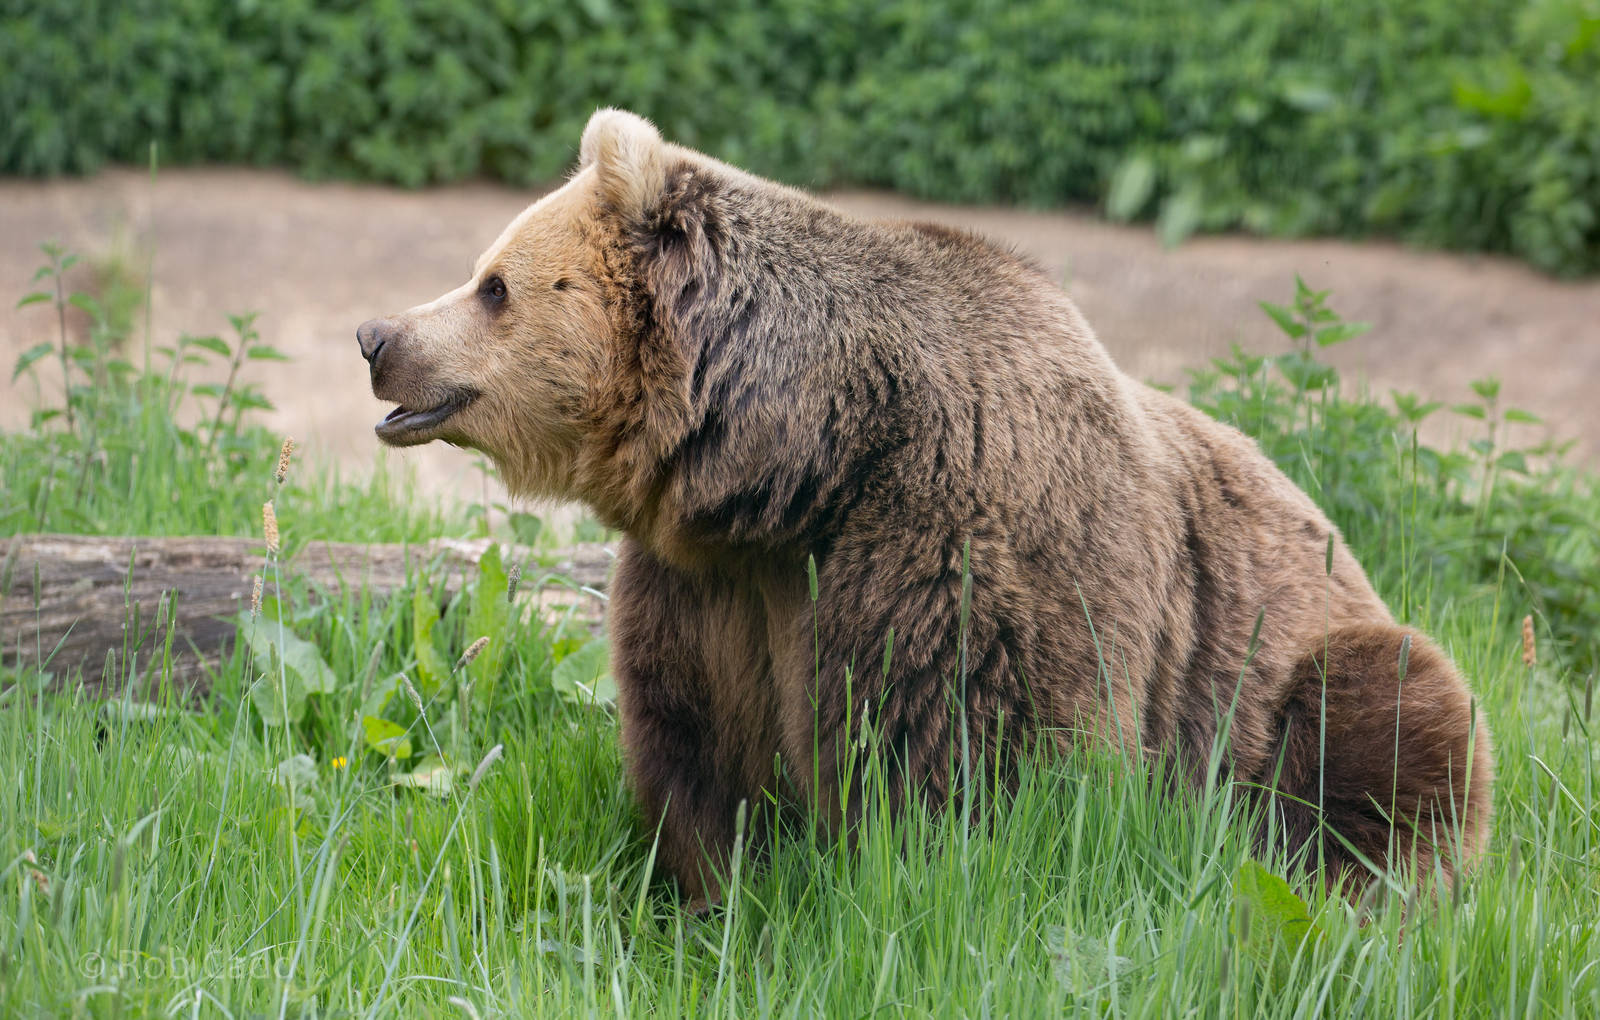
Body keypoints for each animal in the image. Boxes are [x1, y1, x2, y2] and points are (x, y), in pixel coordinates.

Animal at [357, 109, 1493, 905]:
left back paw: (1363, 879)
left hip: (1289, 668)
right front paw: (713, 896)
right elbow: (699, 753)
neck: (800, 469)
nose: (377, 338)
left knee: (1386, 718)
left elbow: (967, 763)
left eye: (494, 285)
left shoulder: (957, 545)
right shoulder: (708, 590)